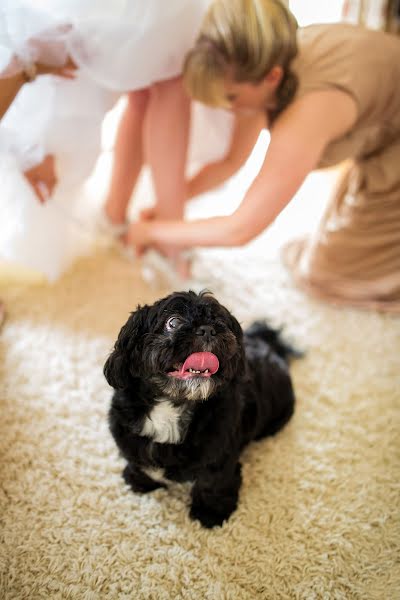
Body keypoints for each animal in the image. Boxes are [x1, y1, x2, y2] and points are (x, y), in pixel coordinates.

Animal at [104, 292, 296, 528]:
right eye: (173, 322)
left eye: (220, 322)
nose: (207, 329)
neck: (173, 404)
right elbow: (136, 460)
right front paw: (140, 482)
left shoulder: (220, 457)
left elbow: (212, 483)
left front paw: (209, 514)